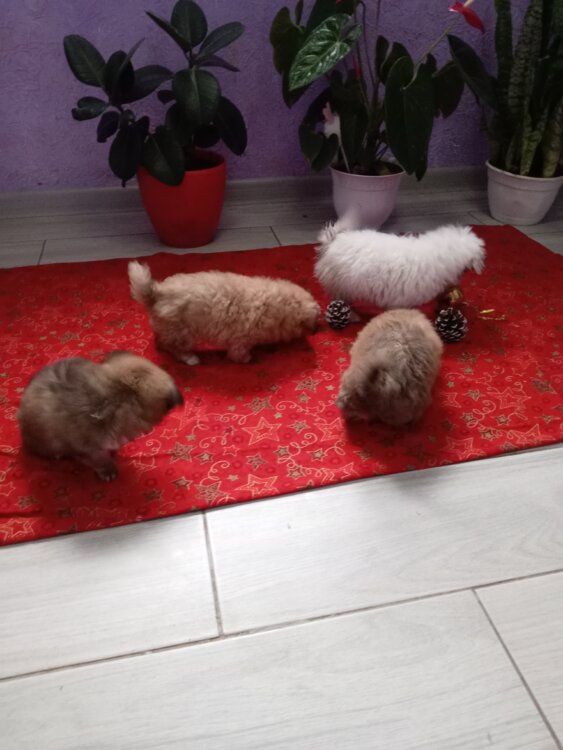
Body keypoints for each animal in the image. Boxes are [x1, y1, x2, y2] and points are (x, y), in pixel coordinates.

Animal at [128, 262, 320, 364]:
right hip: (184, 333)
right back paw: (190, 358)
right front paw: (247, 359)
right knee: (176, 348)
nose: (317, 330)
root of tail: (155, 293)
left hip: (169, 328)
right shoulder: (241, 338)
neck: (278, 306)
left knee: (162, 338)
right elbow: (238, 353)